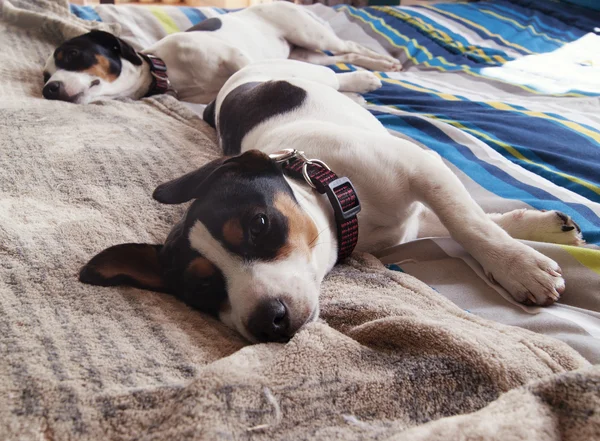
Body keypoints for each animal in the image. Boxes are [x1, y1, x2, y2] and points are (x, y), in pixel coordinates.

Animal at [41, 1, 398, 105]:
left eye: (72, 55)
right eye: (45, 75)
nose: (48, 90)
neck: (168, 69)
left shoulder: (236, 57)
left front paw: (358, 90)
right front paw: (355, 94)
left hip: (310, 33)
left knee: (350, 47)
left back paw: (385, 64)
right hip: (306, 53)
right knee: (343, 58)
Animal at [77, 60, 584, 344]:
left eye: (259, 225)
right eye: (201, 289)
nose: (268, 322)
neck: (335, 195)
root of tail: (229, 86)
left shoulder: (422, 168)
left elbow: (469, 223)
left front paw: (519, 264)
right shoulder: (411, 221)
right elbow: (465, 218)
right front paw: (533, 231)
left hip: (307, 74)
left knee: (333, 73)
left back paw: (366, 77)